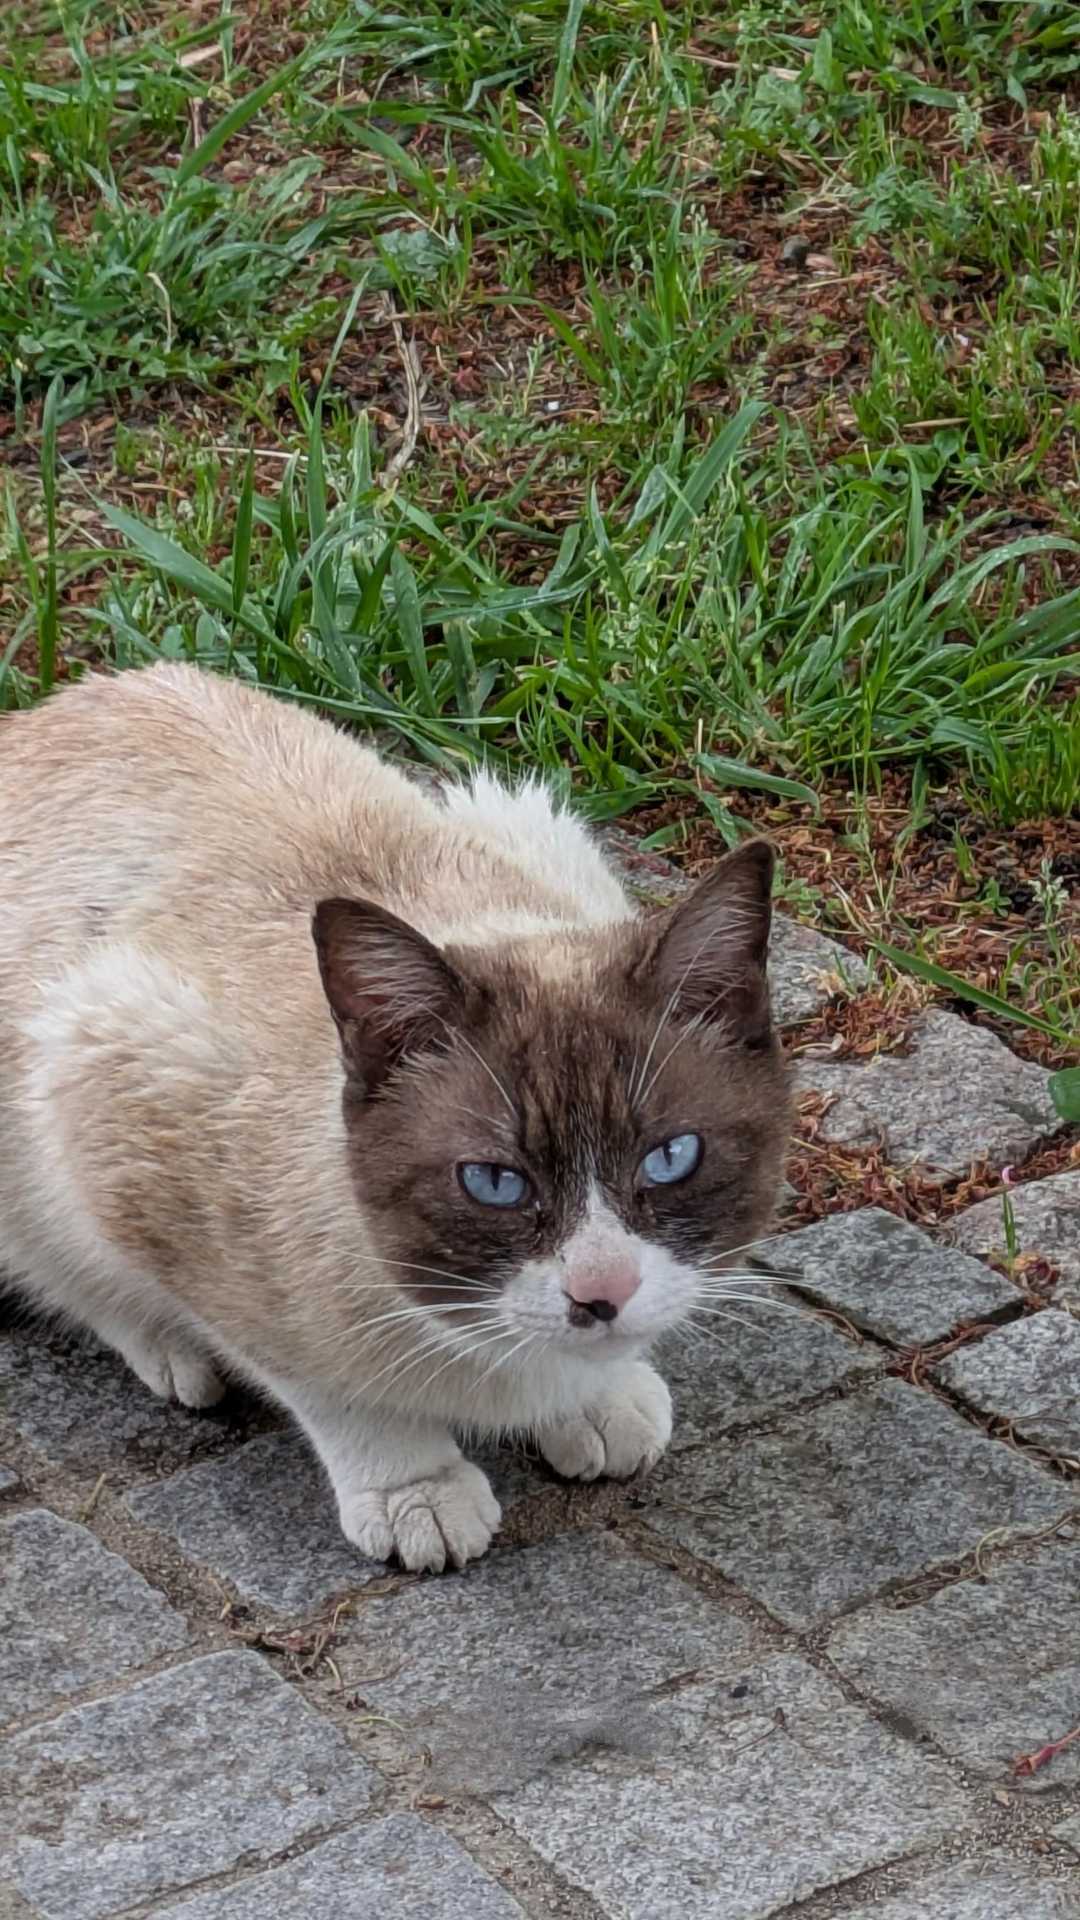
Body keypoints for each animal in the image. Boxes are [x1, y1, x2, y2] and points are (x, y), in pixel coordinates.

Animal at [0, 664, 790, 1570]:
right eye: (494, 1183)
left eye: (670, 1159)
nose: (602, 1294)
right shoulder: (113, 1086)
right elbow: (325, 1383)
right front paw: (417, 1491)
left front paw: (597, 1402)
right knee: (63, 1268)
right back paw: (171, 1353)